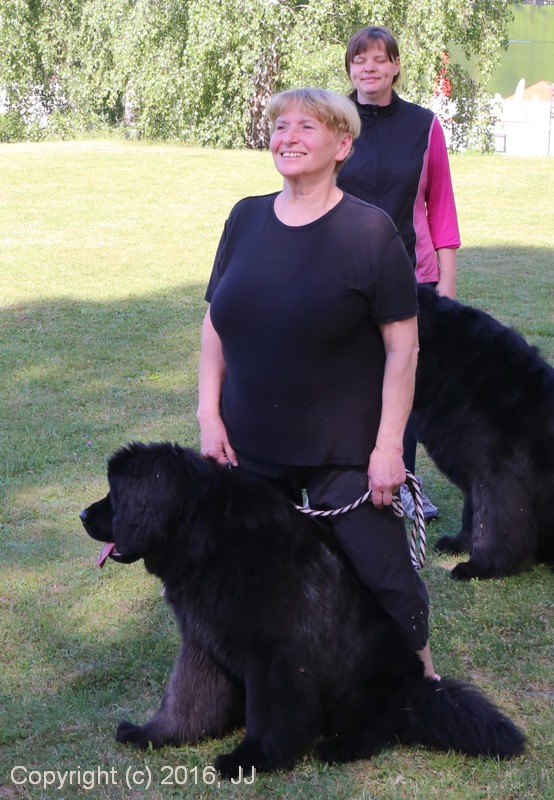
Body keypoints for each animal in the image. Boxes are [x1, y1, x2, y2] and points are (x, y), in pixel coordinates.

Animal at [80, 442, 525, 778]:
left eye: (114, 495)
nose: (82, 515)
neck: (205, 535)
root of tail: (416, 690)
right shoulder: (201, 642)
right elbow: (185, 697)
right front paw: (155, 735)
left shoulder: (275, 656)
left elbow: (268, 714)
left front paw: (251, 759)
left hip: (372, 683)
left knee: (383, 724)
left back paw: (342, 746)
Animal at [414, 286, 554, 580]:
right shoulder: (475, 472)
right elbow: (472, 515)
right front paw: (459, 544)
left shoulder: (497, 477)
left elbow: (492, 524)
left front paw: (480, 566)